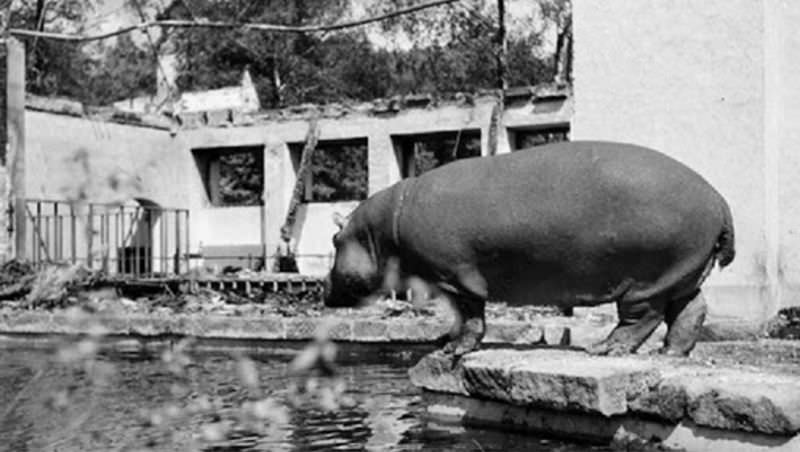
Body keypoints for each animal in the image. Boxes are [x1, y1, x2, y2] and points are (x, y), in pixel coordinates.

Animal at [322, 141, 736, 356]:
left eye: (334, 240)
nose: (323, 289)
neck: (379, 231)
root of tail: (718, 198)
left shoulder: (455, 277)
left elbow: (469, 316)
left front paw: (452, 351)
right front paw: (446, 344)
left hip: (646, 281)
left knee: (642, 318)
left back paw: (602, 349)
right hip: (682, 272)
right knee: (689, 310)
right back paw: (670, 353)